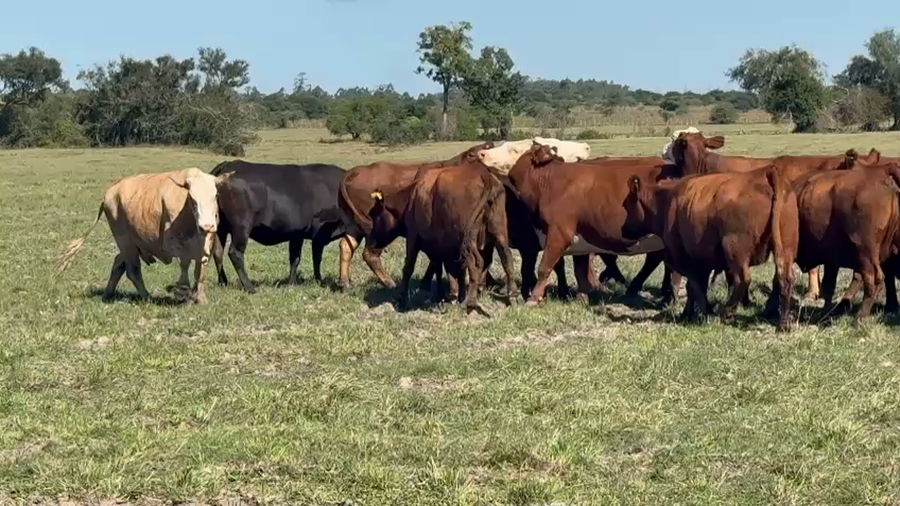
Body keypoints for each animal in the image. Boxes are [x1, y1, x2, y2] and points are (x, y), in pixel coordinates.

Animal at [56, 168, 224, 304]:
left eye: (215, 196)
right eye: (192, 199)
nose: (207, 226)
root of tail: (110, 192)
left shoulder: (206, 244)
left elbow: (200, 270)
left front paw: (200, 298)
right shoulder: (176, 244)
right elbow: (185, 266)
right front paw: (184, 295)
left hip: (130, 246)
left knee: (119, 264)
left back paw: (107, 294)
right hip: (126, 243)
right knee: (133, 271)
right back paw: (147, 297)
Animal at [209, 160, 348, 293]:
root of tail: (228, 164)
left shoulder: (297, 234)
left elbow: (295, 259)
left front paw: (293, 283)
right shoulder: (319, 233)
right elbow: (316, 258)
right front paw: (318, 280)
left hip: (220, 228)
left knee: (218, 252)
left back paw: (223, 282)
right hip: (241, 227)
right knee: (235, 253)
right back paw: (249, 288)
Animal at [367, 162, 516, 312]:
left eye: (374, 215)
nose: (370, 241)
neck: (411, 198)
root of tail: (482, 173)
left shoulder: (413, 237)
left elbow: (409, 266)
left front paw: (402, 301)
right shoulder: (442, 247)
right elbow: (447, 269)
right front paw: (447, 296)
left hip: (468, 239)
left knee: (476, 263)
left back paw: (471, 303)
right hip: (499, 232)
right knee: (506, 259)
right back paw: (512, 296)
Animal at [505, 142, 682, 306]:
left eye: (516, 150)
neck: (550, 182)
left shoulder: (558, 234)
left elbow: (544, 268)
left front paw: (533, 299)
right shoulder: (579, 242)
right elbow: (580, 271)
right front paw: (582, 298)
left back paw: (666, 298)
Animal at [622, 166, 799, 330]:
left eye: (627, 205)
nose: (623, 229)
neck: (667, 200)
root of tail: (765, 172)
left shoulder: (685, 257)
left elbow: (694, 285)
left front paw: (703, 312)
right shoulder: (703, 260)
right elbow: (696, 286)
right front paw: (690, 313)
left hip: (734, 250)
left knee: (743, 279)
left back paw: (726, 314)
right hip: (786, 249)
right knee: (785, 279)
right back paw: (783, 324)